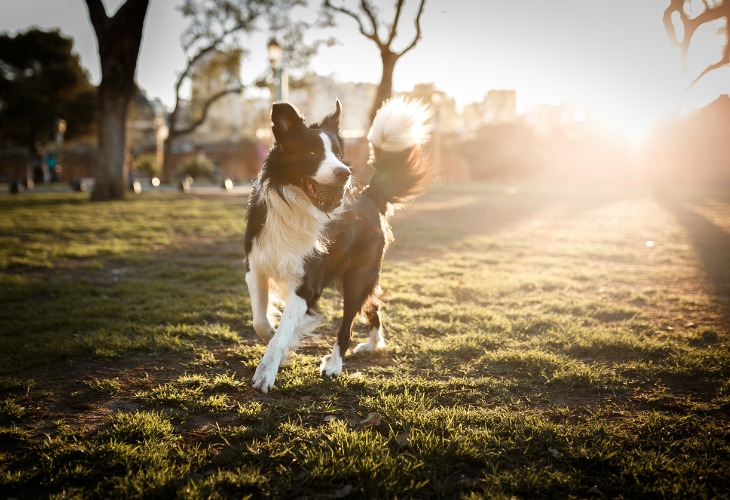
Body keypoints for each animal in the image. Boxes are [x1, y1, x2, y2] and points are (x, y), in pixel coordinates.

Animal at [242, 97, 430, 392]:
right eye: (311, 153)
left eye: (339, 154)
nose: (345, 173)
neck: (296, 208)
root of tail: (370, 196)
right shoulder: (256, 268)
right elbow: (261, 322)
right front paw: (278, 345)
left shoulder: (306, 285)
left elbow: (282, 332)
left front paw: (267, 370)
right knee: (373, 307)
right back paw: (373, 345)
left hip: (358, 276)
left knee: (348, 326)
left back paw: (334, 364)